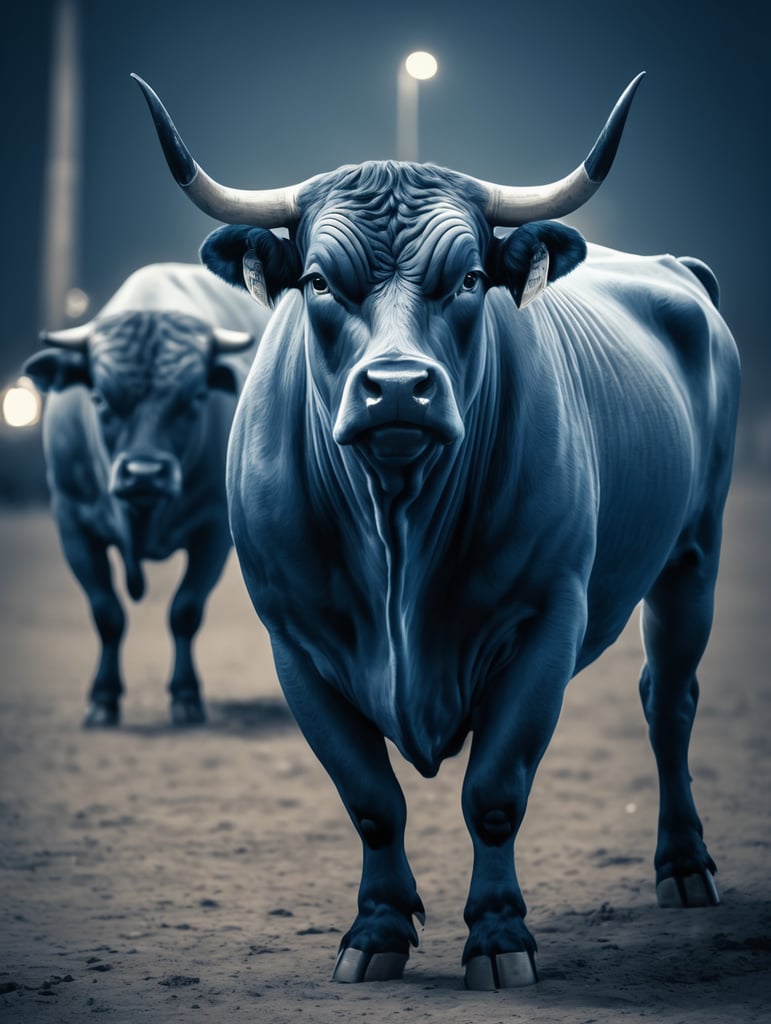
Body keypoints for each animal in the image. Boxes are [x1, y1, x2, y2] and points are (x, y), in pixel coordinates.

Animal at [23, 263, 269, 728]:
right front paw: (103, 698)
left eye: (196, 397)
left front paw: (186, 696)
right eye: (99, 398)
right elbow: (107, 613)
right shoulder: (72, 522)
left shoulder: (214, 529)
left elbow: (185, 610)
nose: (145, 474)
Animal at [135, 73, 740, 987]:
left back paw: (684, 867)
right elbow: (369, 799)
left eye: (468, 279)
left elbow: (493, 792)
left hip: (692, 556)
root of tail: (672, 270)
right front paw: (374, 931)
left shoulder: (547, 618)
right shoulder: (294, 637)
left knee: (667, 700)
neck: (398, 533)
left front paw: (498, 937)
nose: (395, 388)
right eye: (319, 281)